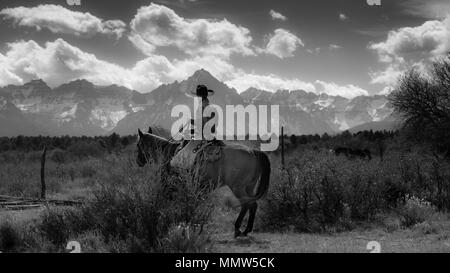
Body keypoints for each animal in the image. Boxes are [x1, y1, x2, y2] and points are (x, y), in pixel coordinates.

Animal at [135, 127, 270, 236]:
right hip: (249, 187)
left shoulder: (169, 187)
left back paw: (237, 228)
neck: (167, 153)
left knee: (246, 204)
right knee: (252, 204)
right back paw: (246, 229)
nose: (138, 161)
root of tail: (253, 151)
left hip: (238, 187)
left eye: (137, 145)